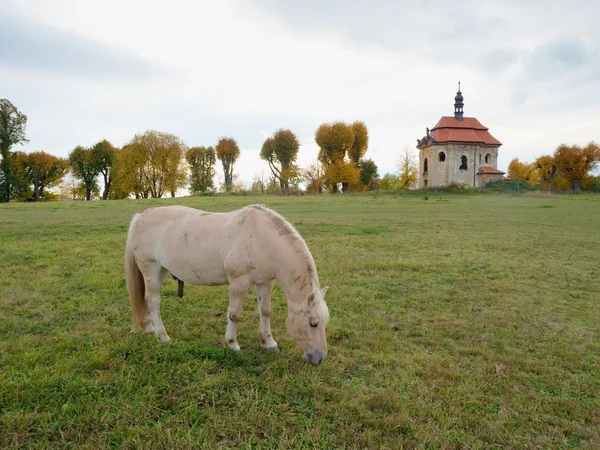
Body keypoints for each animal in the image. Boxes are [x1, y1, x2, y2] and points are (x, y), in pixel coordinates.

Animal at [125, 204, 330, 366]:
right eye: (313, 323)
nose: (319, 358)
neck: (262, 239)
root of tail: (140, 217)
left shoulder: (265, 282)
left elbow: (265, 311)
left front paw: (269, 343)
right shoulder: (238, 282)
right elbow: (235, 314)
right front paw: (232, 344)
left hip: (161, 271)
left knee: (146, 298)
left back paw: (148, 327)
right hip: (150, 268)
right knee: (153, 300)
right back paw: (162, 335)